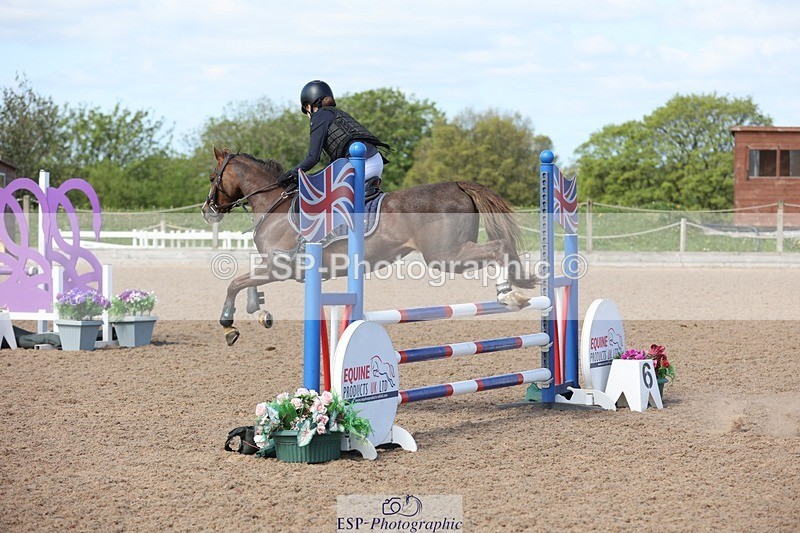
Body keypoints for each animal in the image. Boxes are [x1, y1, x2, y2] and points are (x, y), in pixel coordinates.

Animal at [202, 147, 535, 346]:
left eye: (212, 176)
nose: (207, 211)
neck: (276, 205)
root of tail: (458, 185)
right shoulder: (275, 267)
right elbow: (246, 281)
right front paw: (258, 310)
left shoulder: (279, 266)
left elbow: (235, 282)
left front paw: (229, 324)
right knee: (502, 246)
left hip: (444, 257)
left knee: (497, 247)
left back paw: (508, 295)